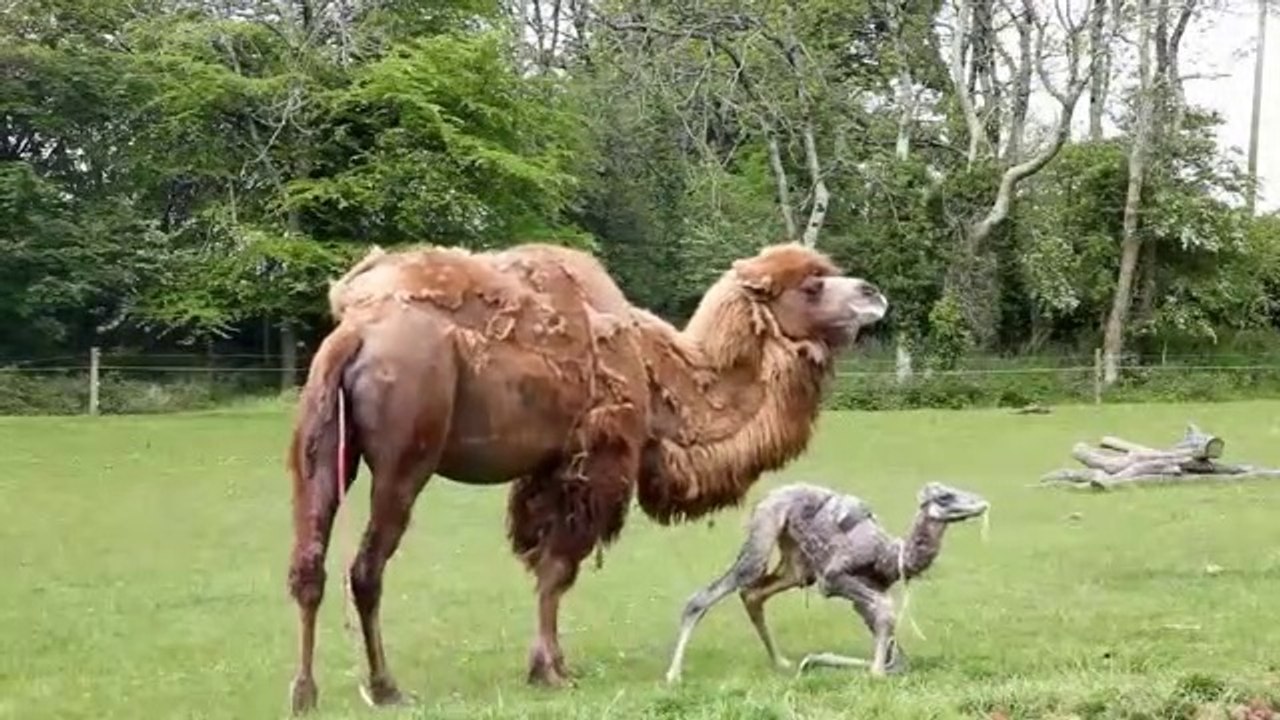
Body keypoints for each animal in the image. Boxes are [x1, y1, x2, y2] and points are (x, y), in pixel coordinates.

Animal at [284, 240, 888, 714]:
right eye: (812, 286)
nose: (873, 294)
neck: (656, 372)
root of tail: (355, 333)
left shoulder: (545, 470)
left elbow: (543, 567)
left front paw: (548, 664)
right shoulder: (594, 464)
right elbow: (557, 570)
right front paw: (551, 670)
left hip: (322, 443)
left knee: (309, 562)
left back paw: (304, 692)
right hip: (405, 457)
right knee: (366, 568)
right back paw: (387, 689)